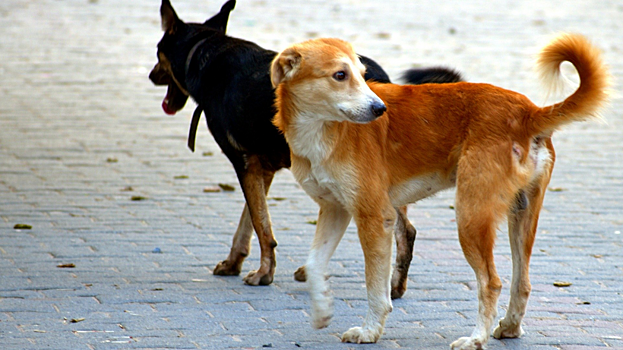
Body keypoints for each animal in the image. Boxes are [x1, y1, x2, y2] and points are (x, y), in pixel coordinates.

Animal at [150, 0, 464, 292]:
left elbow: (261, 225)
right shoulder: (263, 169)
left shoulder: (245, 162)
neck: (205, 52)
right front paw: (234, 262)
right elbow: (248, 222)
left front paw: (264, 273)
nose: (152, 75)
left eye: (157, 52)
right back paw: (393, 286)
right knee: (403, 230)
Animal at [270, 33, 608, 350]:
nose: (380, 109)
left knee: (492, 283)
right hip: (521, 215)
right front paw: (322, 310)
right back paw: (510, 327)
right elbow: (314, 265)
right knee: (521, 283)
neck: (324, 130)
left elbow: (375, 289)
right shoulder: (335, 209)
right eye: (340, 75)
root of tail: (528, 112)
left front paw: (369, 332)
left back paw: (476, 339)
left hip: (470, 217)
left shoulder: (374, 218)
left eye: (363, 74)